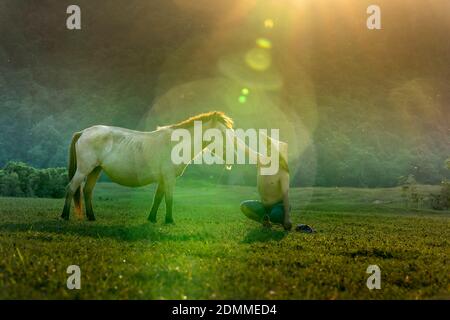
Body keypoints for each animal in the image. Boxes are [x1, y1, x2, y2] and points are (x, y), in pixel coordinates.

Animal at [61, 111, 234, 224]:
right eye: (222, 133)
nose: (232, 156)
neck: (176, 144)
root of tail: (83, 132)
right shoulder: (169, 178)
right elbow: (169, 199)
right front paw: (169, 221)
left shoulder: (163, 179)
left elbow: (157, 198)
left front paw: (152, 219)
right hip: (84, 169)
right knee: (71, 188)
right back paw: (64, 216)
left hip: (95, 170)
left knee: (87, 191)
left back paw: (91, 217)